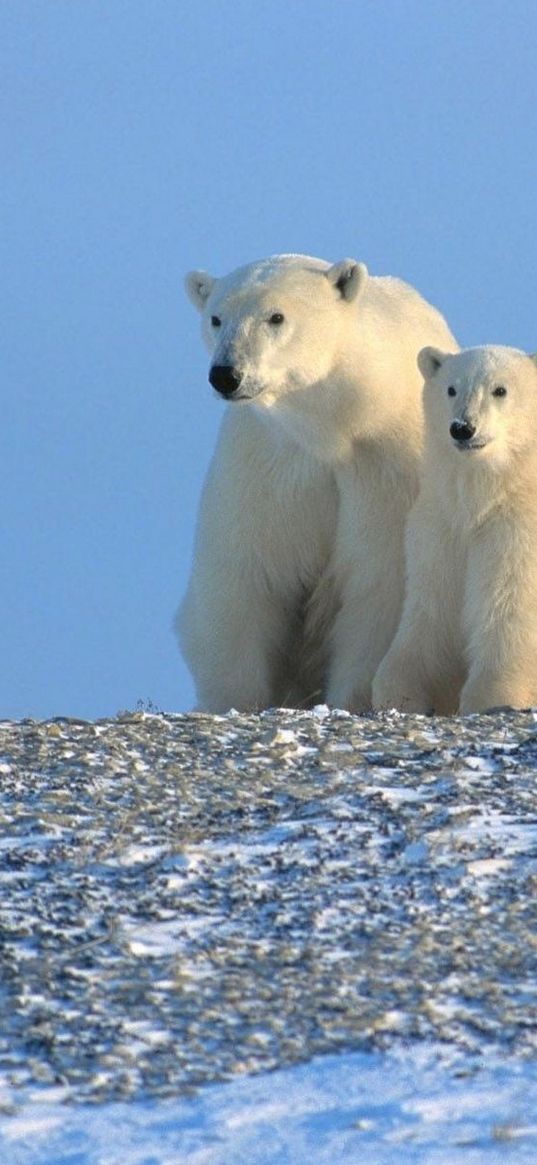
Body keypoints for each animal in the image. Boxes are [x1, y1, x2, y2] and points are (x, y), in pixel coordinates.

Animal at [177, 253, 456, 708]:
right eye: (216, 318)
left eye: (276, 316)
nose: (226, 374)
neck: (335, 428)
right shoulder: (267, 467)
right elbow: (244, 580)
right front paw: (236, 699)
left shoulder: (385, 471)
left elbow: (376, 587)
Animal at [372, 340, 537, 712]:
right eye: (451, 388)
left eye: (500, 389)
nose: (463, 427)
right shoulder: (441, 529)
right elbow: (431, 610)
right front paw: (399, 691)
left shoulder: (514, 531)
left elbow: (508, 604)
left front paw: (493, 695)